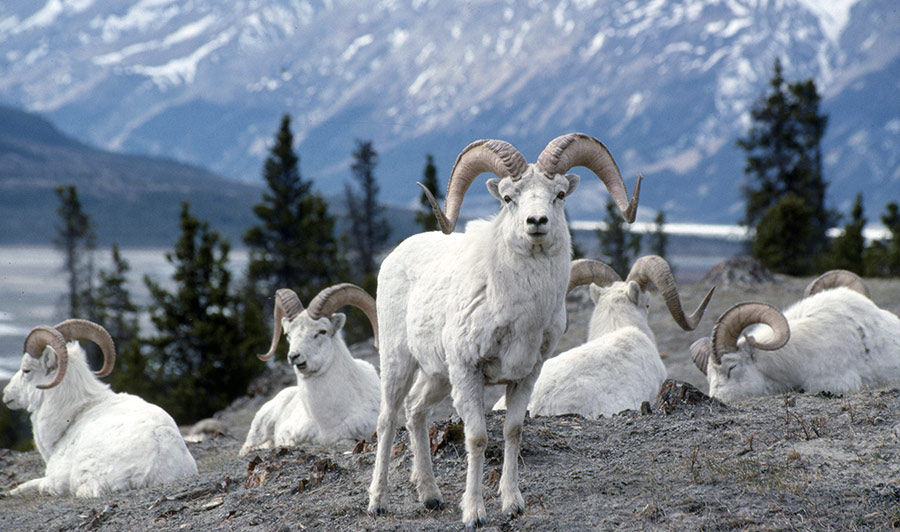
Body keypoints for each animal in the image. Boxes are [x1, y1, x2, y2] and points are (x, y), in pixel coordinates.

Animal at [366, 133, 640, 528]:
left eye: (559, 194)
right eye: (509, 198)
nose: (536, 221)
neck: (518, 310)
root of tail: (395, 255)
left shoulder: (524, 376)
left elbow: (513, 432)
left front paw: (512, 505)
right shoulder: (468, 372)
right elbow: (478, 439)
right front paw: (474, 513)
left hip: (438, 376)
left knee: (415, 411)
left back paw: (430, 496)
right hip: (398, 362)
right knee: (388, 419)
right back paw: (377, 502)